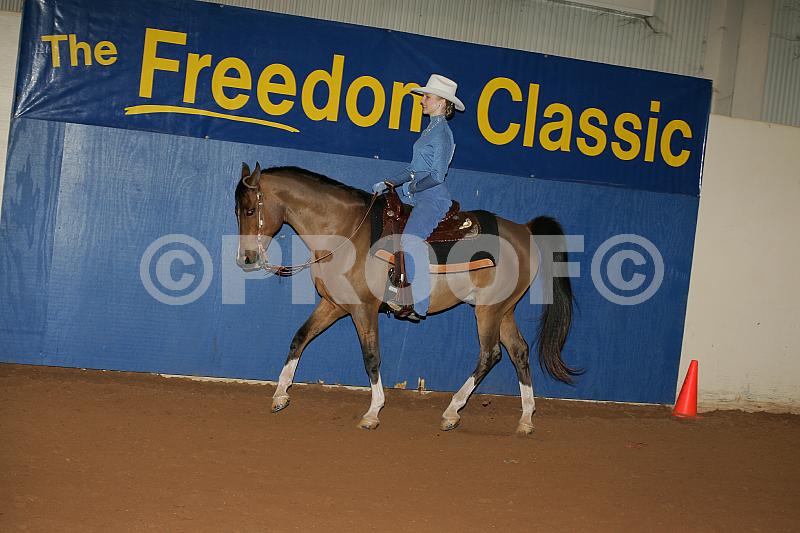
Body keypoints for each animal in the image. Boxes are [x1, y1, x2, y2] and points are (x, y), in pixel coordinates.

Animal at [234, 163, 580, 435]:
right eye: (238, 211)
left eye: (250, 210)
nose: (246, 259)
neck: (345, 230)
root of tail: (524, 230)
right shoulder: (333, 305)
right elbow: (299, 338)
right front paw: (280, 395)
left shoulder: (364, 309)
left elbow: (371, 357)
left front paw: (373, 413)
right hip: (503, 309)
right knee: (519, 351)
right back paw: (525, 419)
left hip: (489, 310)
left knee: (490, 354)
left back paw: (451, 412)